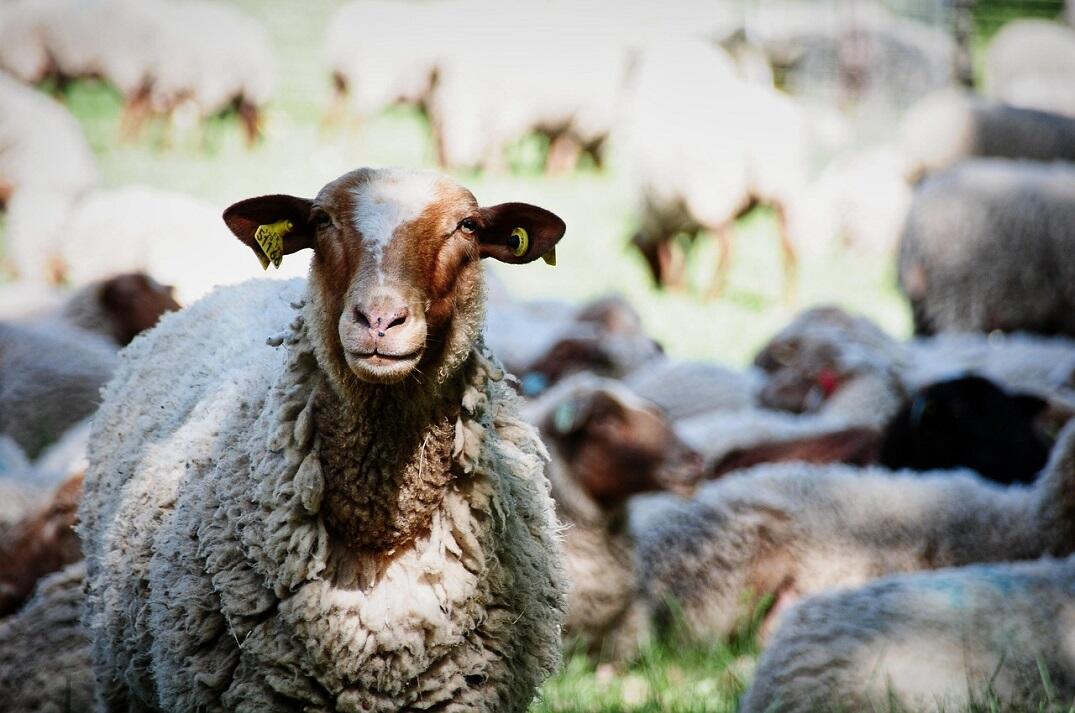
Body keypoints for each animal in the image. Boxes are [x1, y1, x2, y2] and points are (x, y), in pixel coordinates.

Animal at [625, 38, 809, 297]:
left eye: (643, 256)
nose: (656, 286)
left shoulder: (659, 217)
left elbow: (669, 254)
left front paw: (675, 288)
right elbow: (683, 252)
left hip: (713, 195)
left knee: (728, 246)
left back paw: (709, 295)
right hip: (785, 191)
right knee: (790, 244)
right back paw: (787, 298)